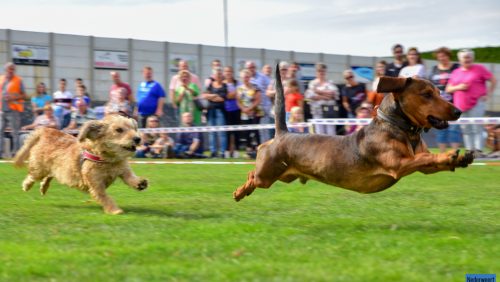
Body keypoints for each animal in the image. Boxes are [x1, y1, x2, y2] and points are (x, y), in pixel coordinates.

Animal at [13, 112, 146, 214]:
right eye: (119, 130)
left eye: (134, 128)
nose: (138, 138)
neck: (106, 159)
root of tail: (47, 130)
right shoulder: (96, 184)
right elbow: (105, 197)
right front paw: (115, 210)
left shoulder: (123, 169)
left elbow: (130, 178)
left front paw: (140, 183)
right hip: (39, 168)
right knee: (32, 175)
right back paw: (26, 185)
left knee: (49, 176)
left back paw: (43, 187)